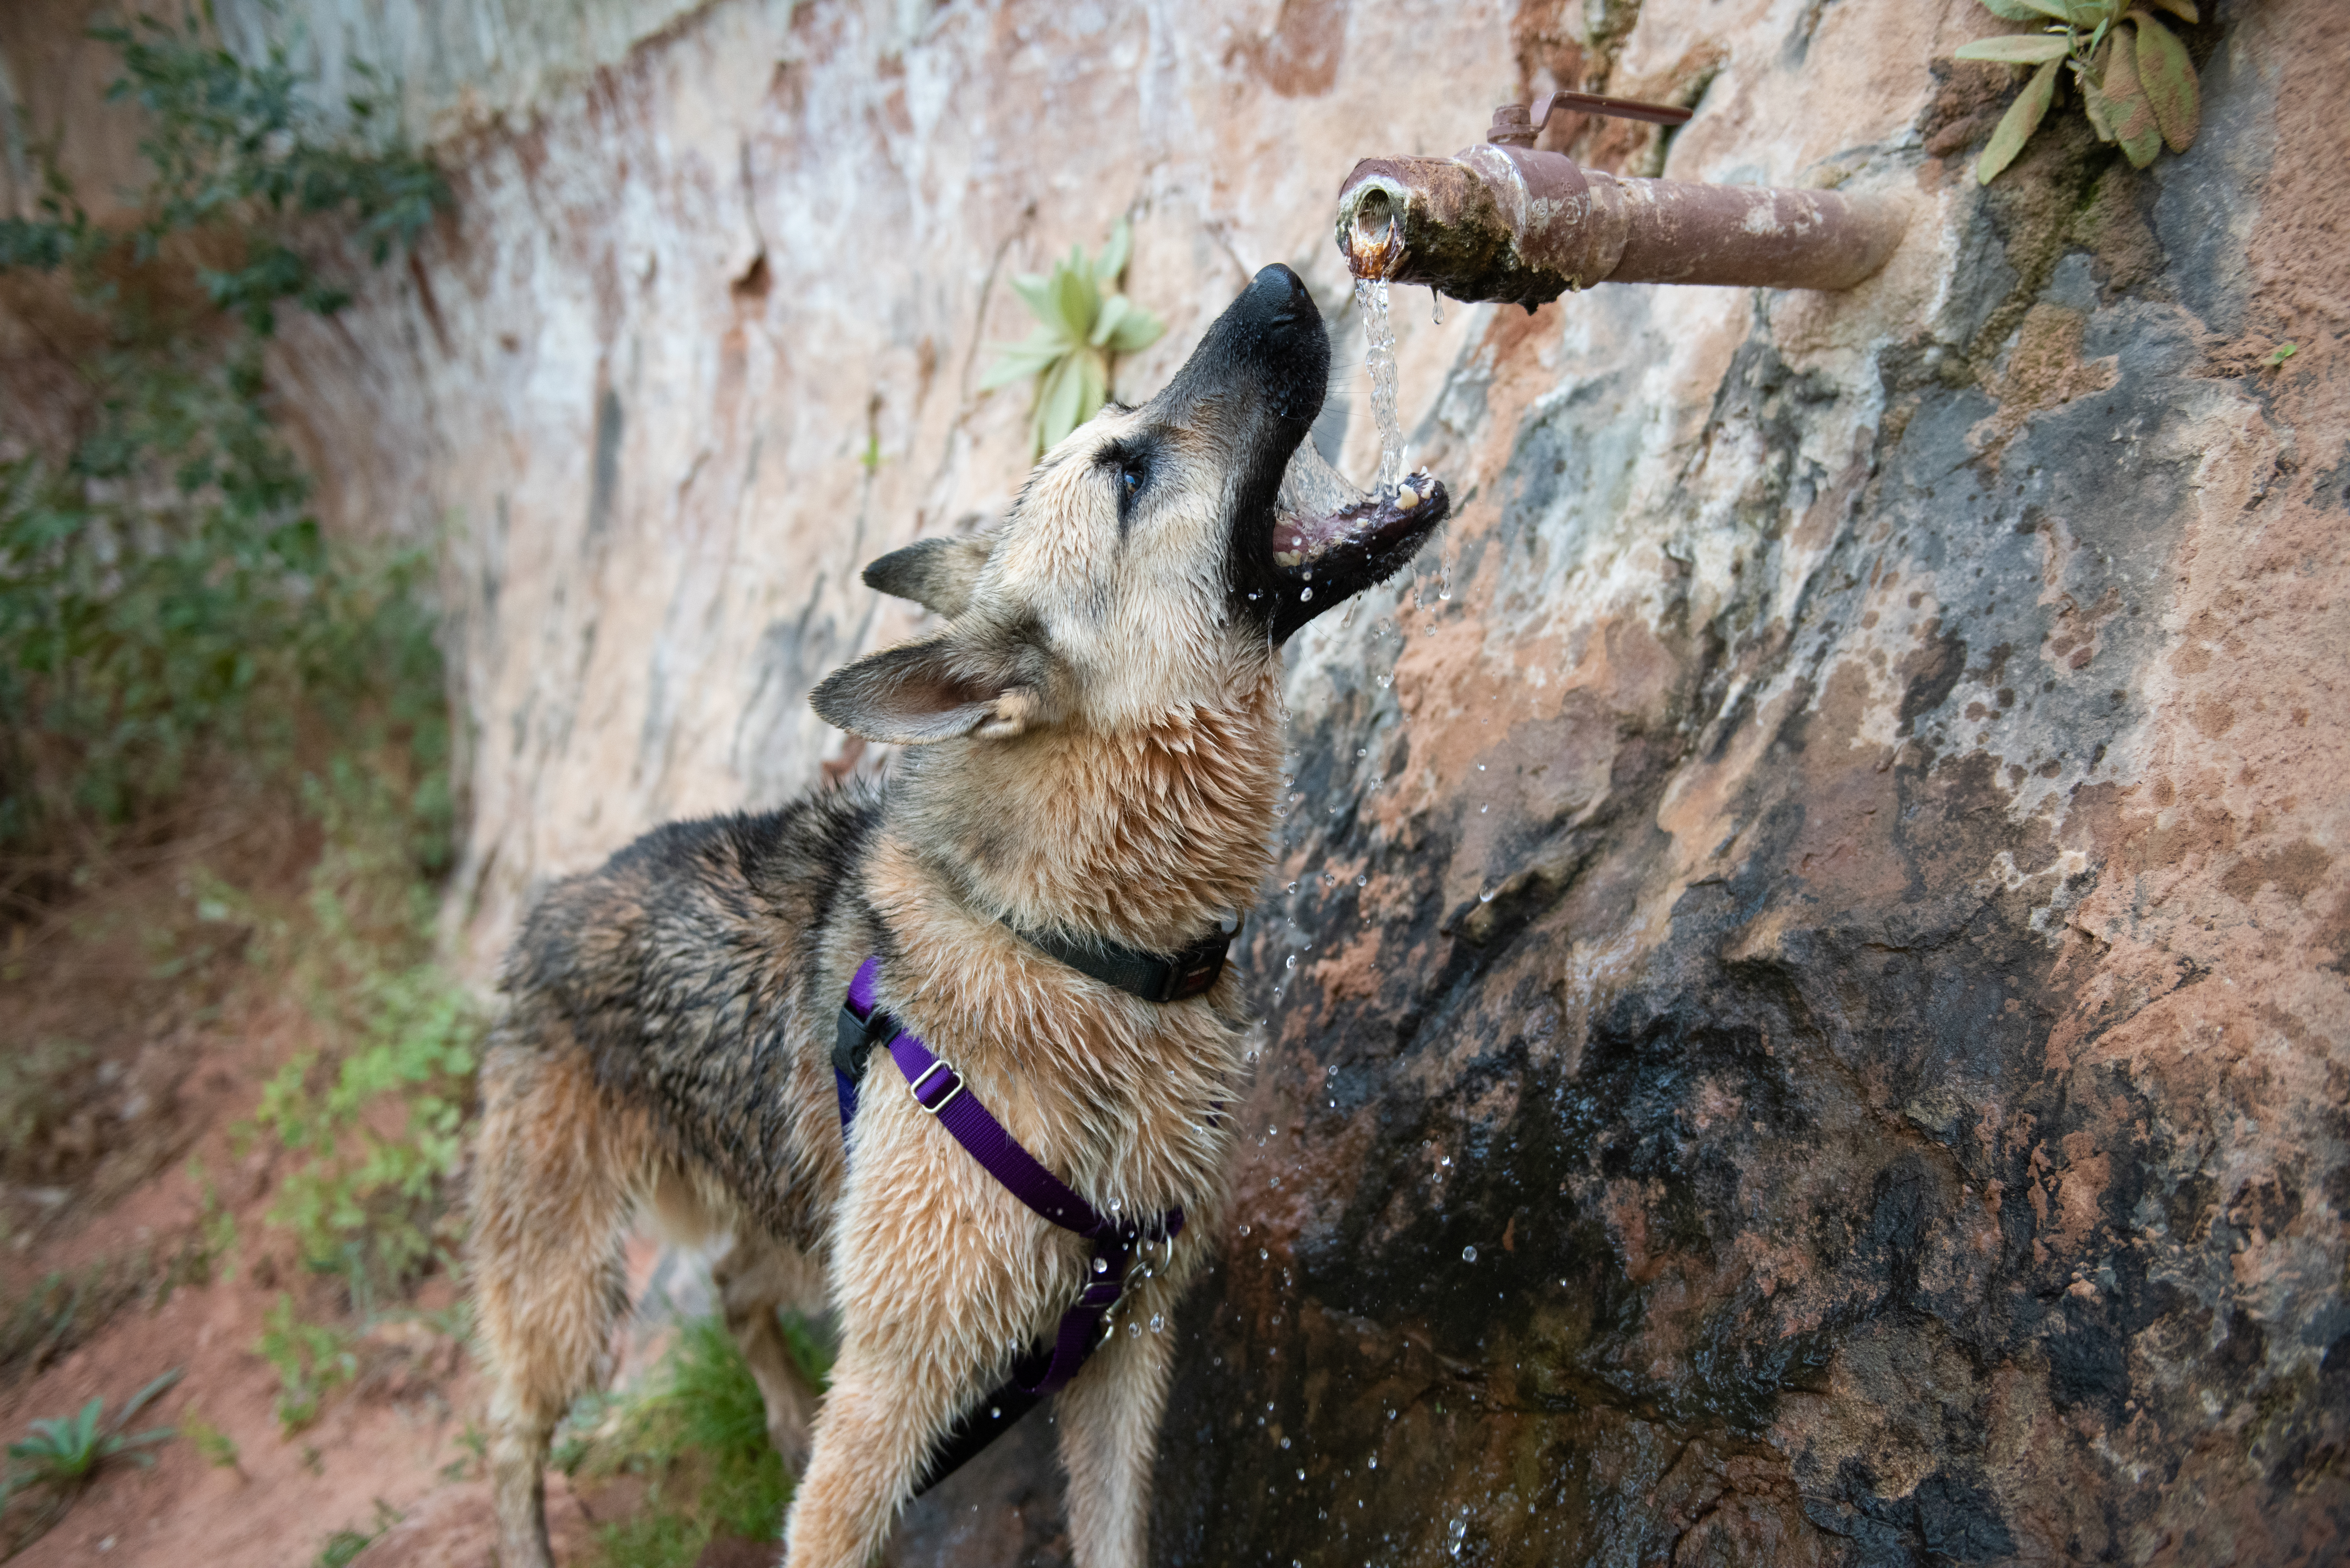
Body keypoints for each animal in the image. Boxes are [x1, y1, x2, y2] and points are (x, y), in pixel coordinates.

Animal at [467, 263, 1438, 1561]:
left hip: (808, 1219)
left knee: (732, 1285)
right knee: (514, 1433)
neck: (1080, 951)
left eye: (1124, 433)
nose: (1283, 278)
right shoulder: (889, 1393)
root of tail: (550, 901)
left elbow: (1114, 1535)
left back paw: (778, 1407)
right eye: (1127, 472)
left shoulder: (1123, 1337)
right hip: (568, 1293)